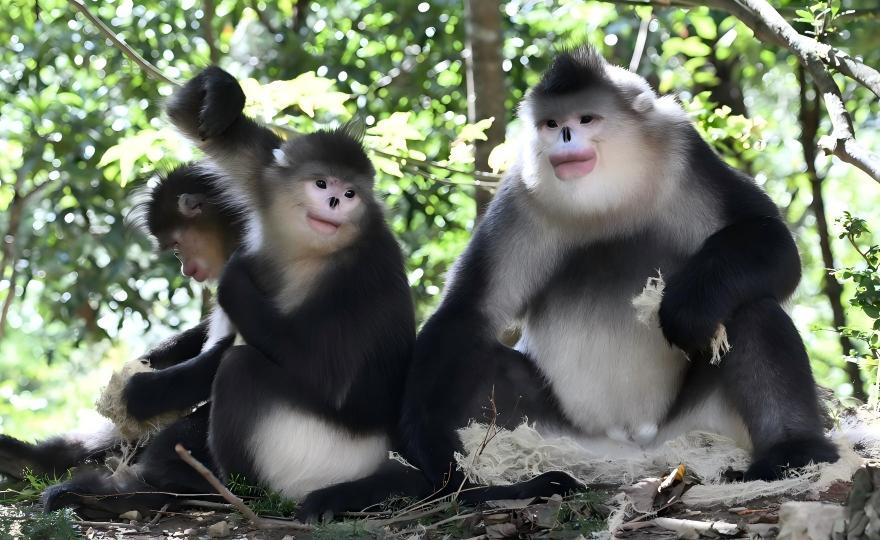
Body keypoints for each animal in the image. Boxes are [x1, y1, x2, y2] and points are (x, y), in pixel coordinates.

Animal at [393, 45, 838, 496]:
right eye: (551, 123)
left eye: (585, 119)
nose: (564, 136)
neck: (608, 202)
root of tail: (633, 450)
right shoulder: (521, 194)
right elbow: (470, 309)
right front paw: (430, 451)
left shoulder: (683, 149)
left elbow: (773, 238)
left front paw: (690, 305)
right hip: (556, 431)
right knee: (477, 355)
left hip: (704, 423)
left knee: (752, 309)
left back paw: (793, 451)